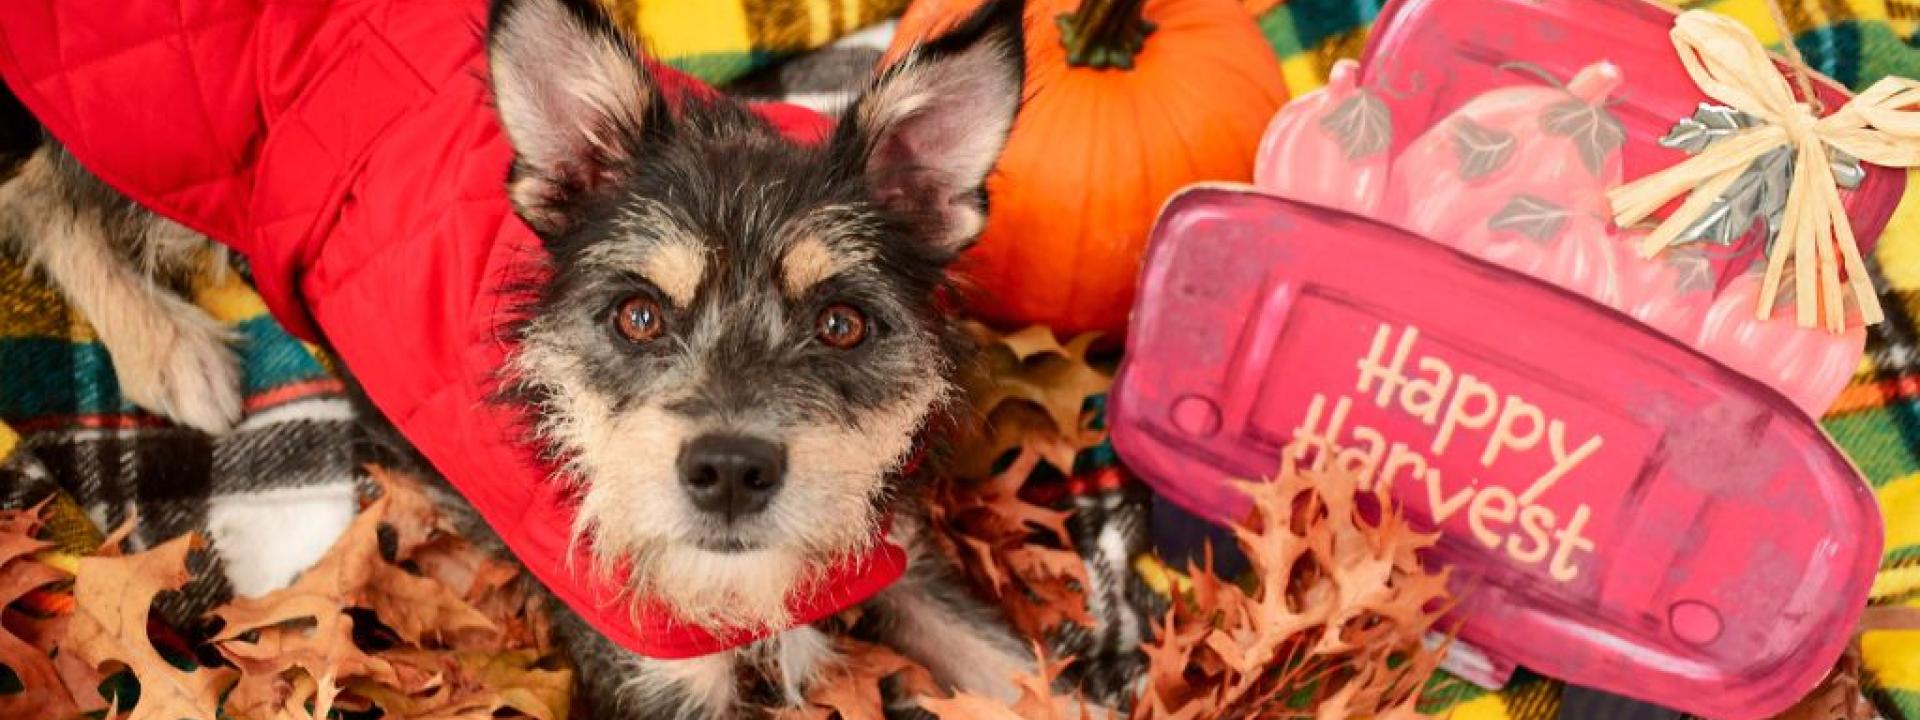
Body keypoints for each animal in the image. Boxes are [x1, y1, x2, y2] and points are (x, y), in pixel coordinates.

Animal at [0, 0, 1113, 718]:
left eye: (841, 324)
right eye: (638, 317)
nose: (730, 470)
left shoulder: (898, 560)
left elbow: (1046, 687)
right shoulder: (646, 673)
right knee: (38, 191)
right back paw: (171, 351)